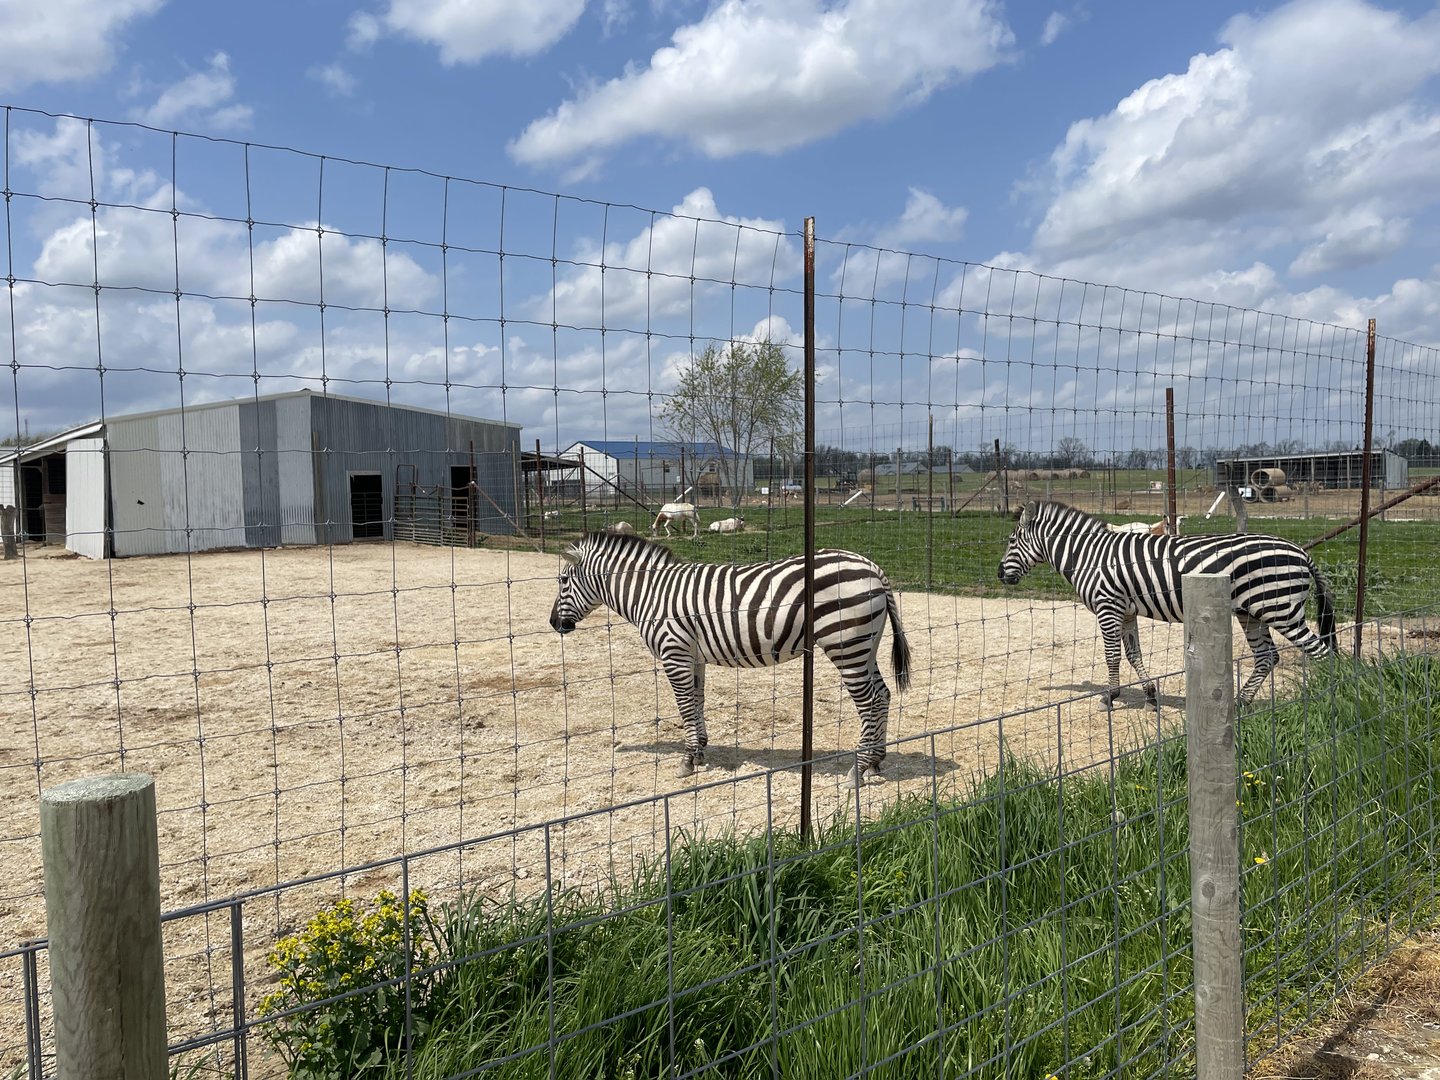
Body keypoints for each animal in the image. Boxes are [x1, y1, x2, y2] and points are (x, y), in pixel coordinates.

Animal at [548, 531, 912, 784]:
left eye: (563, 580)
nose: (553, 624)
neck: (651, 593)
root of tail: (872, 567)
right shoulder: (692, 656)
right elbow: (697, 701)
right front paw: (699, 751)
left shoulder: (673, 652)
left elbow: (684, 705)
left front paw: (686, 761)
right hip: (865, 644)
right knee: (883, 695)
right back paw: (876, 762)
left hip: (845, 644)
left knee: (869, 702)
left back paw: (858, 769)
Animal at [997, 500, 1338, 707]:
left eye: (1012, 540)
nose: (999, 574)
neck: (1090, 556)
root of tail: (1301, 551)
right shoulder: (1126, 611)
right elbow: (1133, 654)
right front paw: (1150, 696)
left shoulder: (1108, 606)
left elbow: (1112, 656)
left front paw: (1110, 696)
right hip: (1251, 612)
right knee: (1267, 657)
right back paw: (1241, 703)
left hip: (1282, 611)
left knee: (1321, 652)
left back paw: (1327, 700)